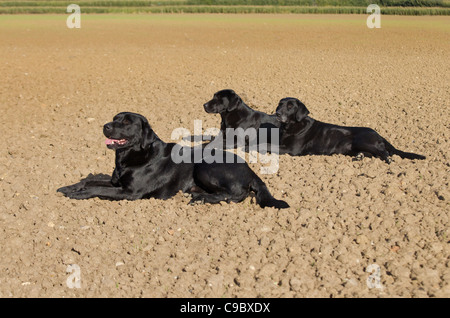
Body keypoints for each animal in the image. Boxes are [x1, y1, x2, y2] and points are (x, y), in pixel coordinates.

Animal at [58, 112, 288, 209]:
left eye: (126, 122)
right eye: (115, 119)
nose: (105, 126)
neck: (128, 158)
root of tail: (250, 170)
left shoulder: (129, 192)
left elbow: (97, 188)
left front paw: (79, 194)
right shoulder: (117, 182)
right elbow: (89, 180)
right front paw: (69, 187)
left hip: (205, 167)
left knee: (237, 194)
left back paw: (203, 199)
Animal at [274, 97, 426, 164]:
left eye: (290, 106)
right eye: (280, 105)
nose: (277, 113)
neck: (289, 126)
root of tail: (378, 134)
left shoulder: (291, 149)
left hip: (362, 141)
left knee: (385, 152)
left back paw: (389, 161)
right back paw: (359, 157)